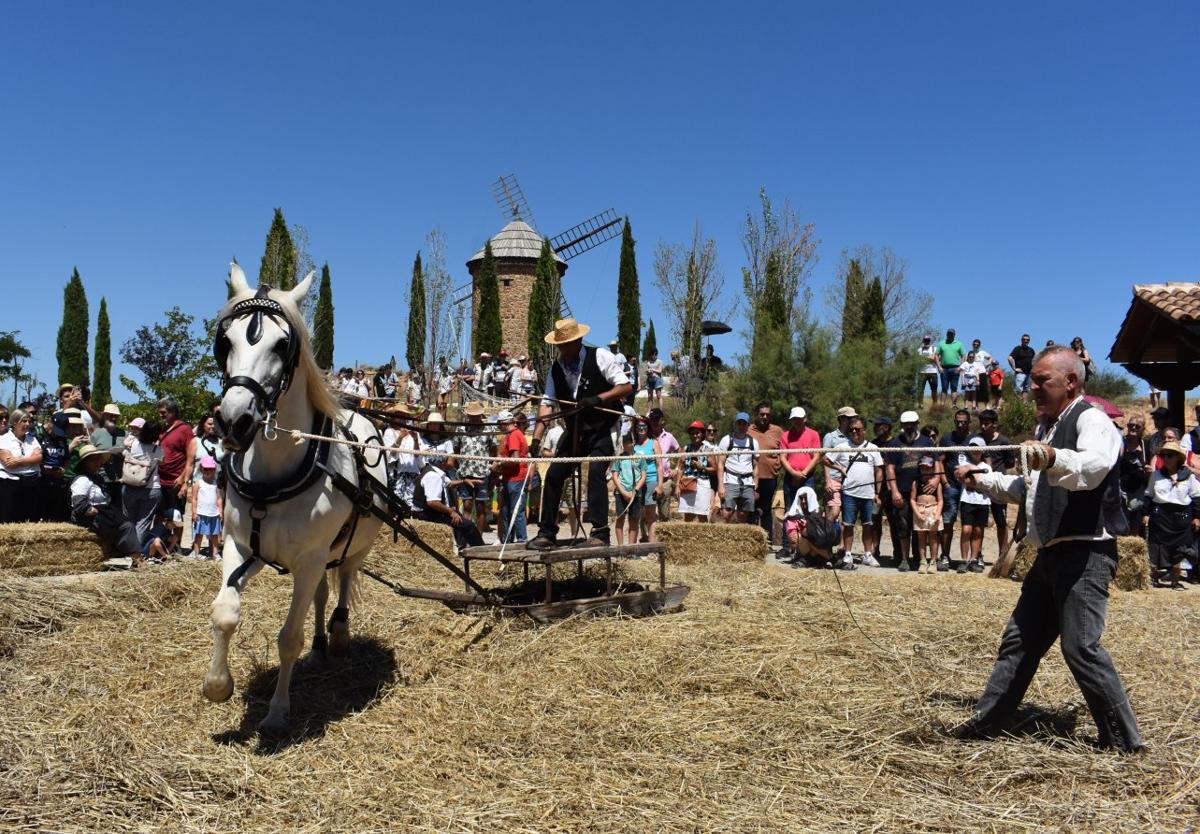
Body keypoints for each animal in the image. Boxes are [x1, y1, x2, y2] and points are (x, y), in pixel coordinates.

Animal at [202, 264, 384, 734]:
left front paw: (277, 712)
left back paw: (338, 634)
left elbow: (288, 638)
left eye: (282, 345)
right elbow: (224, 612)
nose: (234, 421)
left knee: (345, 580)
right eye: (225, 341)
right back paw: (320, 644)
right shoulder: (243, 547)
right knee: (320, 594)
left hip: (354, 546)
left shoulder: (309, 557)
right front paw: (217, 685)